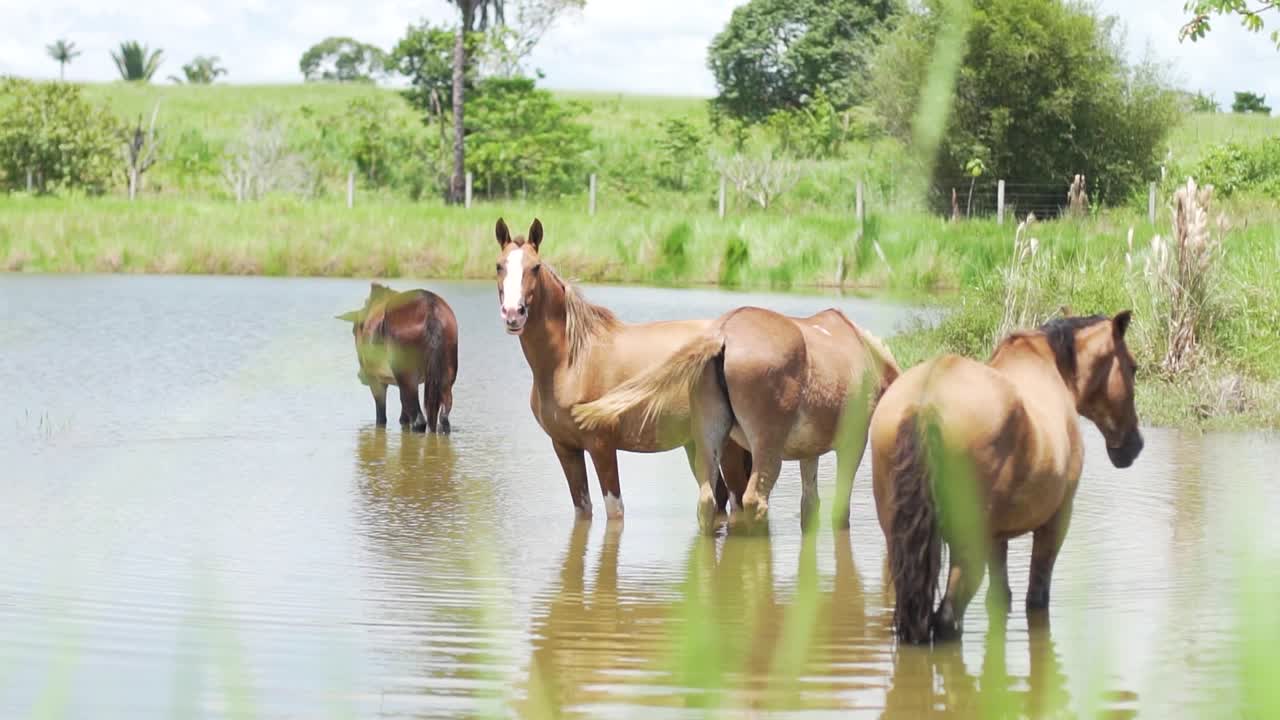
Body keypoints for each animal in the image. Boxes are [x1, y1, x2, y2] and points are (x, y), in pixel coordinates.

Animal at [337, 282, 459, 434]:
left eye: (354, 331)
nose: (360, 375)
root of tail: (430, 308)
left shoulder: (376, 381)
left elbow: (381, 419)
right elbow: (403, 419)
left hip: (406, 376)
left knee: (419, 421)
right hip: (445, 376)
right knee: (443, 417)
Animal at [494, 217, 751, 521]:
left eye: (534, 266)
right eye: (499, 265)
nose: (513, 314)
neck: (571, 362)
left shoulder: (602, 446)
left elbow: (615, 511)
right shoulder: (565, 448)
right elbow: (583, 510)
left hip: (730, 448)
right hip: (697, 443)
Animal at [573, 305, 900, 534]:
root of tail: (722, 334)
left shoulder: (810, 451)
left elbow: (810, 506)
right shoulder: (852, 444)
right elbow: (838, 510)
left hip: (709, 440)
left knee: (708, 502)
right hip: (767, 446)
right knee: (754, 499)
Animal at [870, 311, 1143, 644]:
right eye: (1133, 367)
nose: (1134, 446)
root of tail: (925, 403)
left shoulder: (996, 538)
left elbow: (1000, 596)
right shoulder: (1056, 520)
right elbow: (1036, 597)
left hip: (898, 540)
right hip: (968, 546)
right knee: (946, 618)